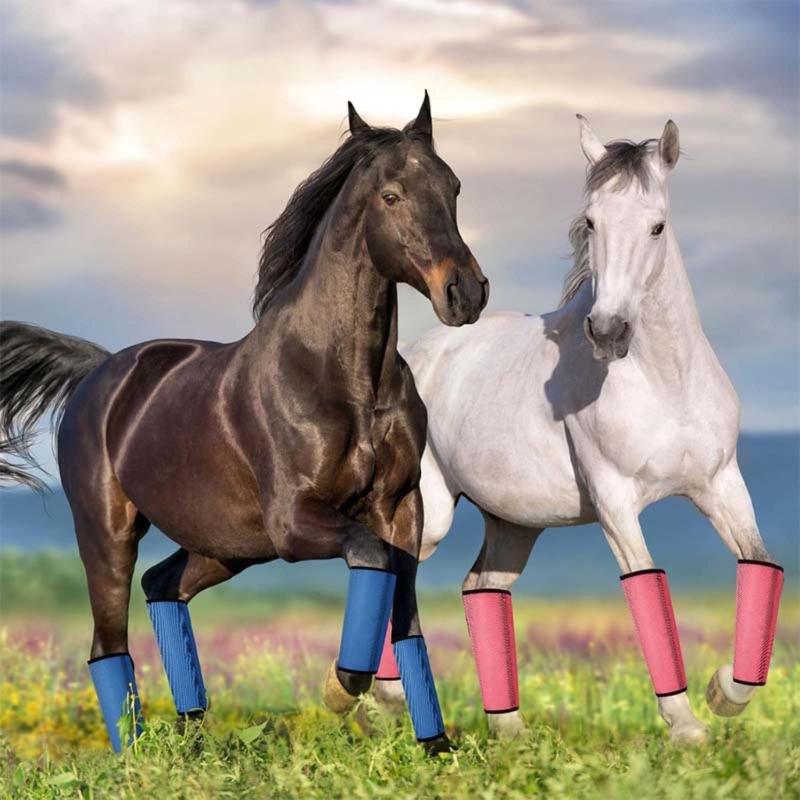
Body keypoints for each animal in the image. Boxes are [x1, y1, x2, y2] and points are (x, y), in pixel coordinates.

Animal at [0, 94, 489, 754]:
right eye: (391, 195)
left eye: (453, 186)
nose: (466, 293)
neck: (345, 380)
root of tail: (100, 372)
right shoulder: (295, 520)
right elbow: (371, 559)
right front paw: (343, 685)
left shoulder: (399, 507)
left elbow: (405, 615)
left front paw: (437, 748)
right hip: (108, 534)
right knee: (107, 644)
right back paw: (138, 758)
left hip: (226, 546)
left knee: (162, 586)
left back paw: (191, 737)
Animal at [369, 116, 784, 743]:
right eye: (591, 221)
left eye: (657, 225)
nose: (609, 331)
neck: (665, 383)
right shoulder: (615, 501)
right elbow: (646, 583)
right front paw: (686, 726)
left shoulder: (720, 485)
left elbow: (758, 565)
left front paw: (723, 692)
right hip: (432, 512)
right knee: (394, 570)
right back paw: (381, 697)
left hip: (514, 524)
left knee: (481, 588)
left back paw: (509, 729)